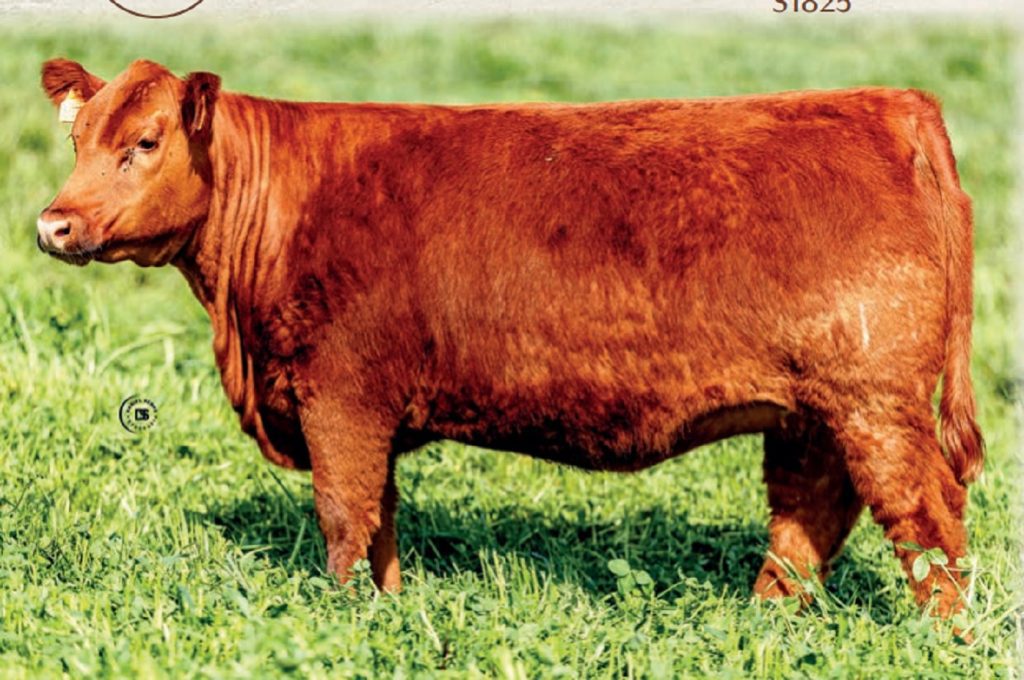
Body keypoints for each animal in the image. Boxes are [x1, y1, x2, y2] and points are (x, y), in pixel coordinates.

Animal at [37, 58, 983, 618]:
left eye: (145, 141)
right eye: (78, 137)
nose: (54, 224)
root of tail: (890, 104)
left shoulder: (338, 395)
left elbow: (344, 515)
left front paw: (340, 619)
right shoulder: (368, 410)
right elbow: (382, 519)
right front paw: (387, 615)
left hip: (876, 403)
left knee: (927, 515)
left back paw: (942, 639)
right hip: (811, 412)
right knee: (807, 518)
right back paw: (765, 623)